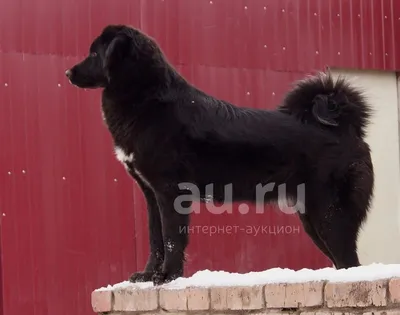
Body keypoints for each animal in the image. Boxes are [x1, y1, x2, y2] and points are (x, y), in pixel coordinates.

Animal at [66, 24, 376, 286]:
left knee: (351, 263)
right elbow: (155, 239)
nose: (68, 74)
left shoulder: (170, 191)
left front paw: (168, 277)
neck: (146, 97)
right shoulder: (151, 195)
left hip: (328, 214)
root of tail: (345, 127)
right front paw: (148, 275)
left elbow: (171, 238)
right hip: (311, 218)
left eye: (94, 53)